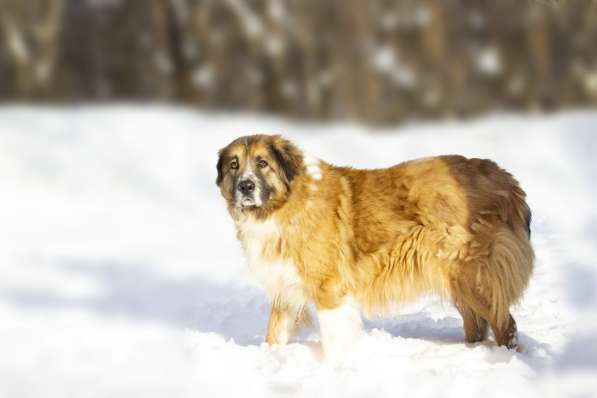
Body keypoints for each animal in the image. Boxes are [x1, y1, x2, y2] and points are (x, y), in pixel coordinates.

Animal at [217, 134, 532, 358]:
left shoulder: (330, 290)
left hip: (474, 278)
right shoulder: (285, 289)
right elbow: (274, 333)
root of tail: (506, 178)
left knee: (506, 325)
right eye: (234, 165)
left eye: (262, 163)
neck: (284, 205)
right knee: (477, 325)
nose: (245, 186)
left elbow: (335, 338)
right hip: (456, 280)